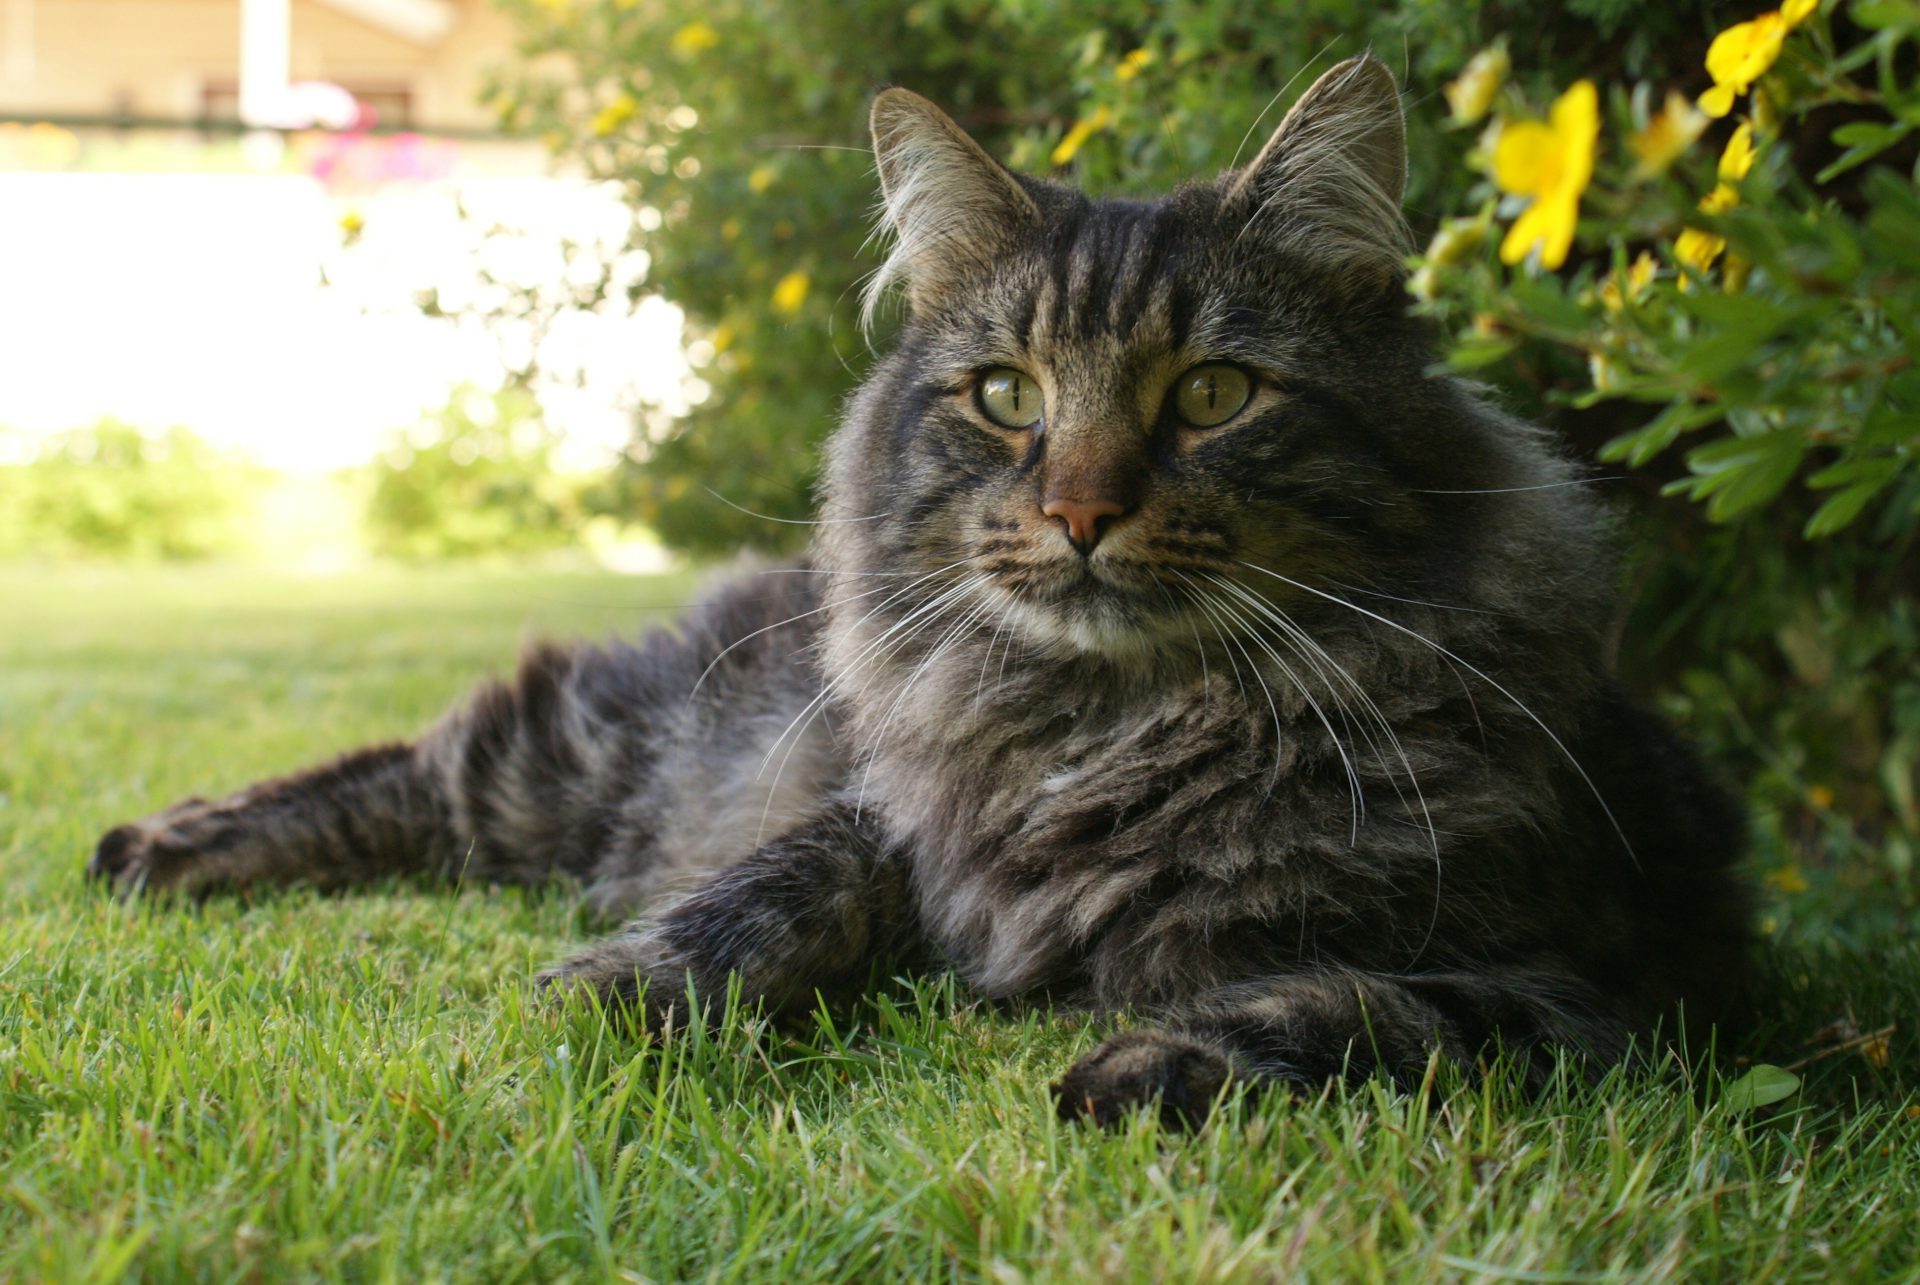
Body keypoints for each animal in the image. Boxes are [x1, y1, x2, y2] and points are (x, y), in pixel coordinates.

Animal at [90, 57, 1758, 1121]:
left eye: (1214, 395)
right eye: (1008, 396)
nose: (1081, 510)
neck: (1113, 728)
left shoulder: (1618, 986)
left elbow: (1396, 1013)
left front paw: (1161, 1060)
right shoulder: (885, 817)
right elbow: (772, 891)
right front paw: (617, 991)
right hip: (587, 752)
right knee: (418, 768)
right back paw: (161, 846)